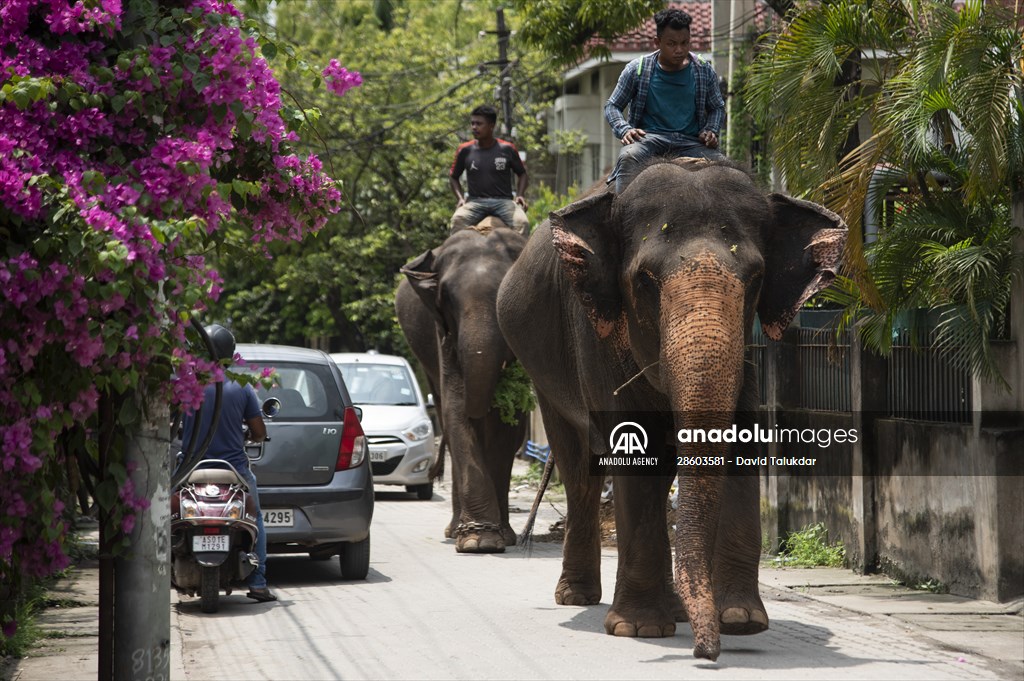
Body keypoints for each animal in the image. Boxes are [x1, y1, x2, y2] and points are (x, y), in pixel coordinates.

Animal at [393, 223, 528, 552]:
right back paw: (455, 531)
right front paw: (479, 542)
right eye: (448, 299)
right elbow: (456, 409)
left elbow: (508, 428)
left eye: (506, 294)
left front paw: (494, 539)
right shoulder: (442, 333)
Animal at [497, 156, 847, 655]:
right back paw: (578, 597)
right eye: (644, 280)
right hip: (542, 372)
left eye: (756, 278)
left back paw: (678, 610)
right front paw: (639, 629)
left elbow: (740, 443)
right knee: (580, 470)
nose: (706, 651)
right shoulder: (597, 336)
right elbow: (635, 452)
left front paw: (741, 621)